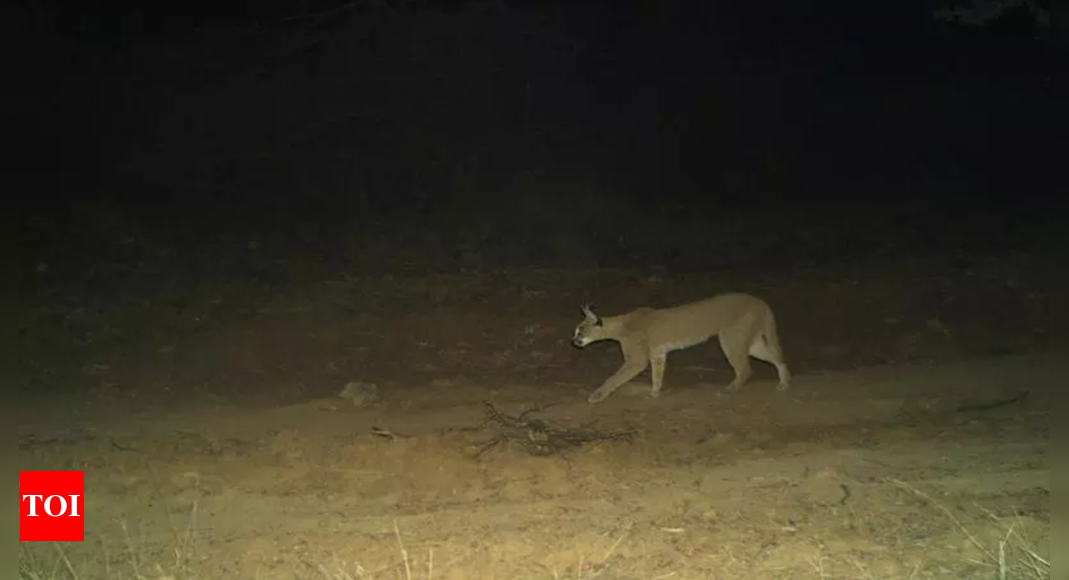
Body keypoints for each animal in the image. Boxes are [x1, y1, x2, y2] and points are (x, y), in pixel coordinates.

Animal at [572, 294, 791, 403]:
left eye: (580, 331)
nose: (573, 341)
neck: (621, 325)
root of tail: (761, 302)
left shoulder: (637, 360)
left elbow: (614, 378)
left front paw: (596, 396)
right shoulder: (658, 353)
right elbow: (657, 374)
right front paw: (655, 393)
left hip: (731, 338)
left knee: (746, 368)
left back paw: (730, 390)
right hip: (750, 341)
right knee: (777, 358)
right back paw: (784, 383)